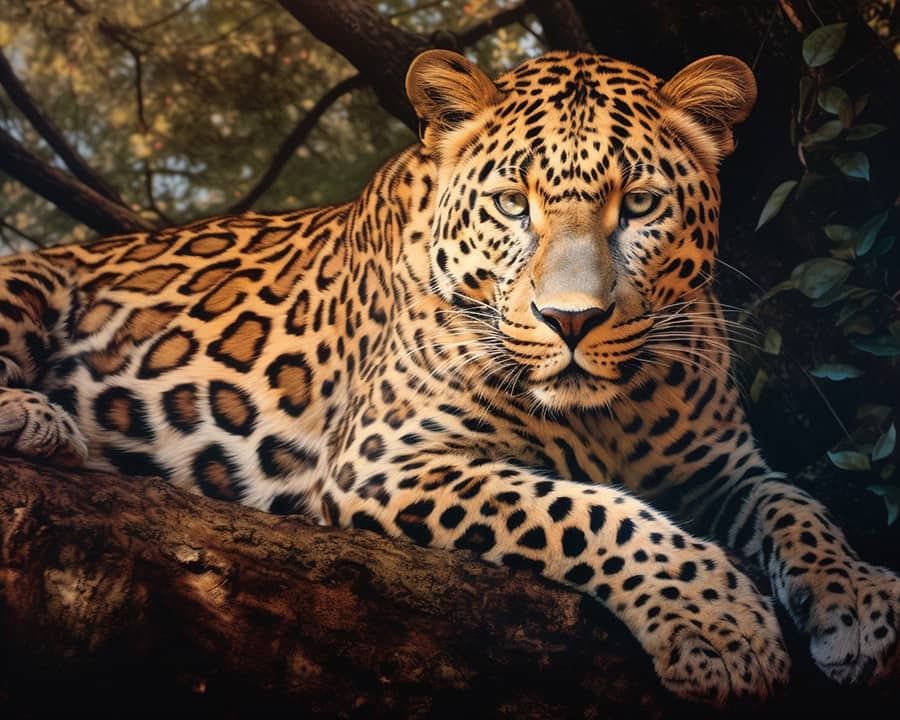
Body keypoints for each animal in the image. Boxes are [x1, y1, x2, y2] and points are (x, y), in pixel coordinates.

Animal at [0, 48, 897, 705]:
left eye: (640, 205)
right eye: (512, 204)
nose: (571, 321)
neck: (605, 413)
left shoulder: (723, 470)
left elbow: (797, 507)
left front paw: (857, 600)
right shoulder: (391, 461)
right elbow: (589, 511)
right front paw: (717, 622)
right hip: (30, 280)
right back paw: (37, 420)